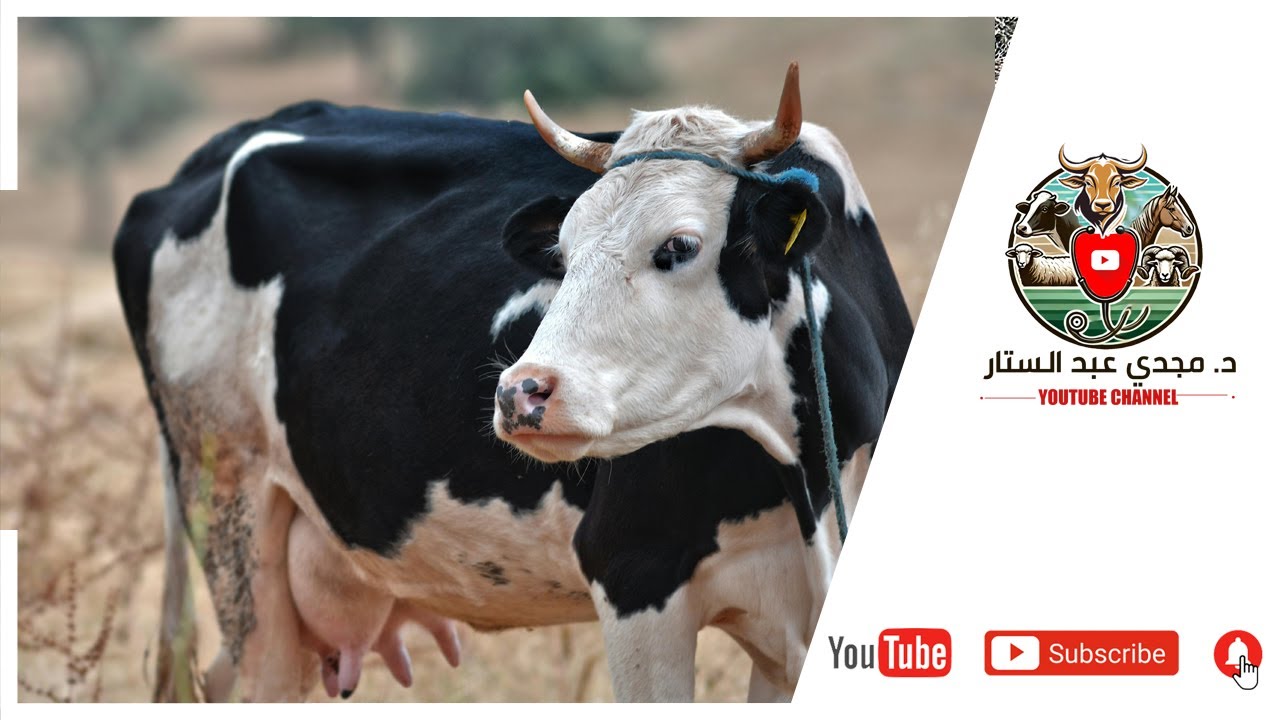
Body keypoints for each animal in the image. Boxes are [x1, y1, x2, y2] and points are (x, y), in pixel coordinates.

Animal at [113, 63, 913, 702]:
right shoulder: (634, 573)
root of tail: (218, 148)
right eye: (562, 248)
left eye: (679, 246)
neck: (812, 483)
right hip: (229, 503)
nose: (518, 392)